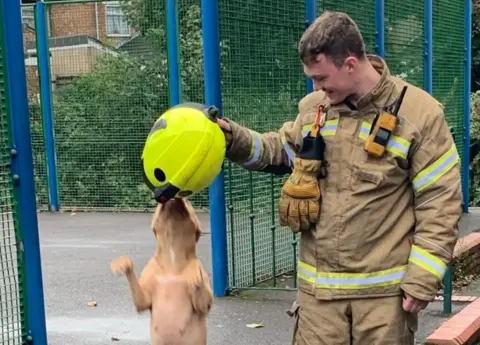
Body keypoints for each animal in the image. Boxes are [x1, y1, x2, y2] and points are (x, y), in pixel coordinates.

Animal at [111, 196, 213, 344]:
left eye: (188, 201)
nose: (174, 198)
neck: (172, 262)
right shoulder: (143, 300)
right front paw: (123, 263)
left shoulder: (204, 306)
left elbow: (203, 301)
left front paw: (196, 278)